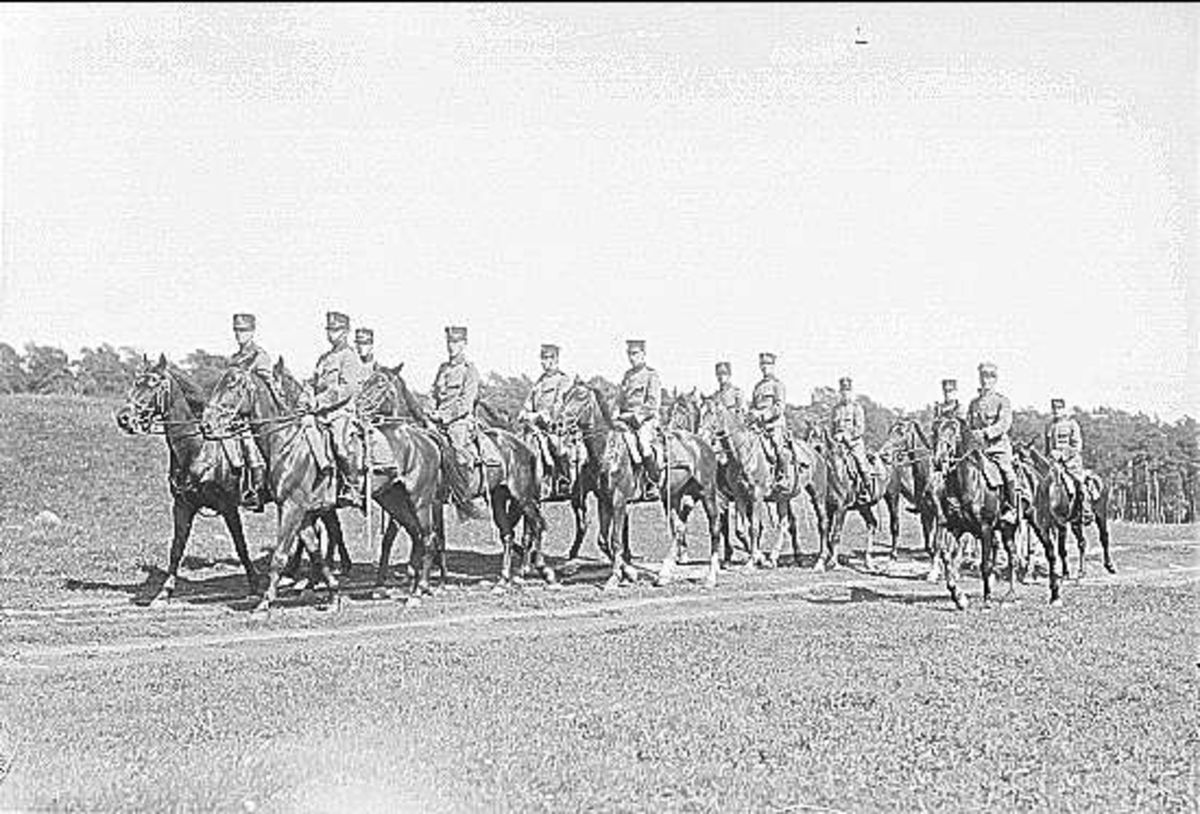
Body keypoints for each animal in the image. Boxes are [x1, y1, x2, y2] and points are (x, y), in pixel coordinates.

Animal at [115, 354, 258, 606]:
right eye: (136, 382)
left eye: (153, 384)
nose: (124, 418)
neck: (198, 449)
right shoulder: (183, 506)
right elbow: (176, 548)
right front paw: (164, 592)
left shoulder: (229, 507)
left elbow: (241, 545)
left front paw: (254, 586)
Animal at [558, 382, 723, 589]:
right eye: (565, 395)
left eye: (580, 396)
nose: (559, 424)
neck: (609, 449)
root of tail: (703, 444)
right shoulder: (604, 501)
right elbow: (603, 540)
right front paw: (629, 572)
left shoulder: (619, 501)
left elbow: (616, 540)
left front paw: (615, 577)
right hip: (674, 496)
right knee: (678, 529)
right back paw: (664, 574)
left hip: (707, 493)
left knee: (714, 528)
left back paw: (711, 576)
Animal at [930, 415, 1021, 609]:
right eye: (935, 431)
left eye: (954, 432)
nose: (939, 460)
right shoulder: (955, 527)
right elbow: (947, 556)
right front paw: (959, 597)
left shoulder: (985, 528)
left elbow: (984, 565)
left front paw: (987, 600)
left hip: (1008, 529)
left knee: (1012, 556)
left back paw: (1010, 595)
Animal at [1020, 442, 1115, 606]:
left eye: (1023, 460)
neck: (1049, 489)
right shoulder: (1041, 525)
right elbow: (1043, 548)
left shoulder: (1060, 523)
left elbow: (1061, 549)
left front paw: (1063, 575)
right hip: (1076, 522)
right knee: (1082, 543)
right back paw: (1081, 572)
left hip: (1100, 514)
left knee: (1104, 538)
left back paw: (1109, 566)